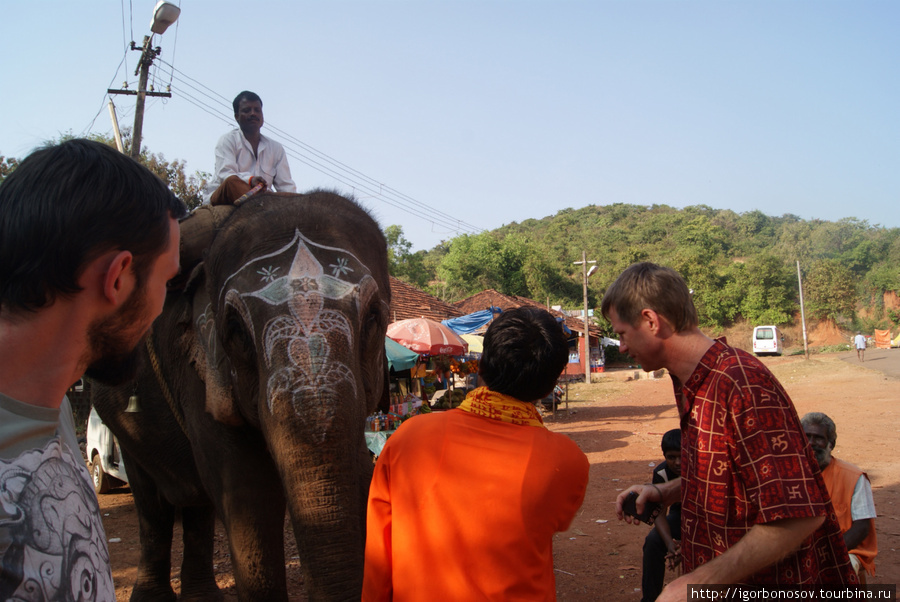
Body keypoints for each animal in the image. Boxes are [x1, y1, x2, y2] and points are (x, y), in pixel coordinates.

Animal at [91, 192, 394, 600]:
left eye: (375, 317)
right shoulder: (201, 375)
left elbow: (357, 468)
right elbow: (249, 494)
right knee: (151, 503)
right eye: (234, 330)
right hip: (123, 425)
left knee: (197, 503)